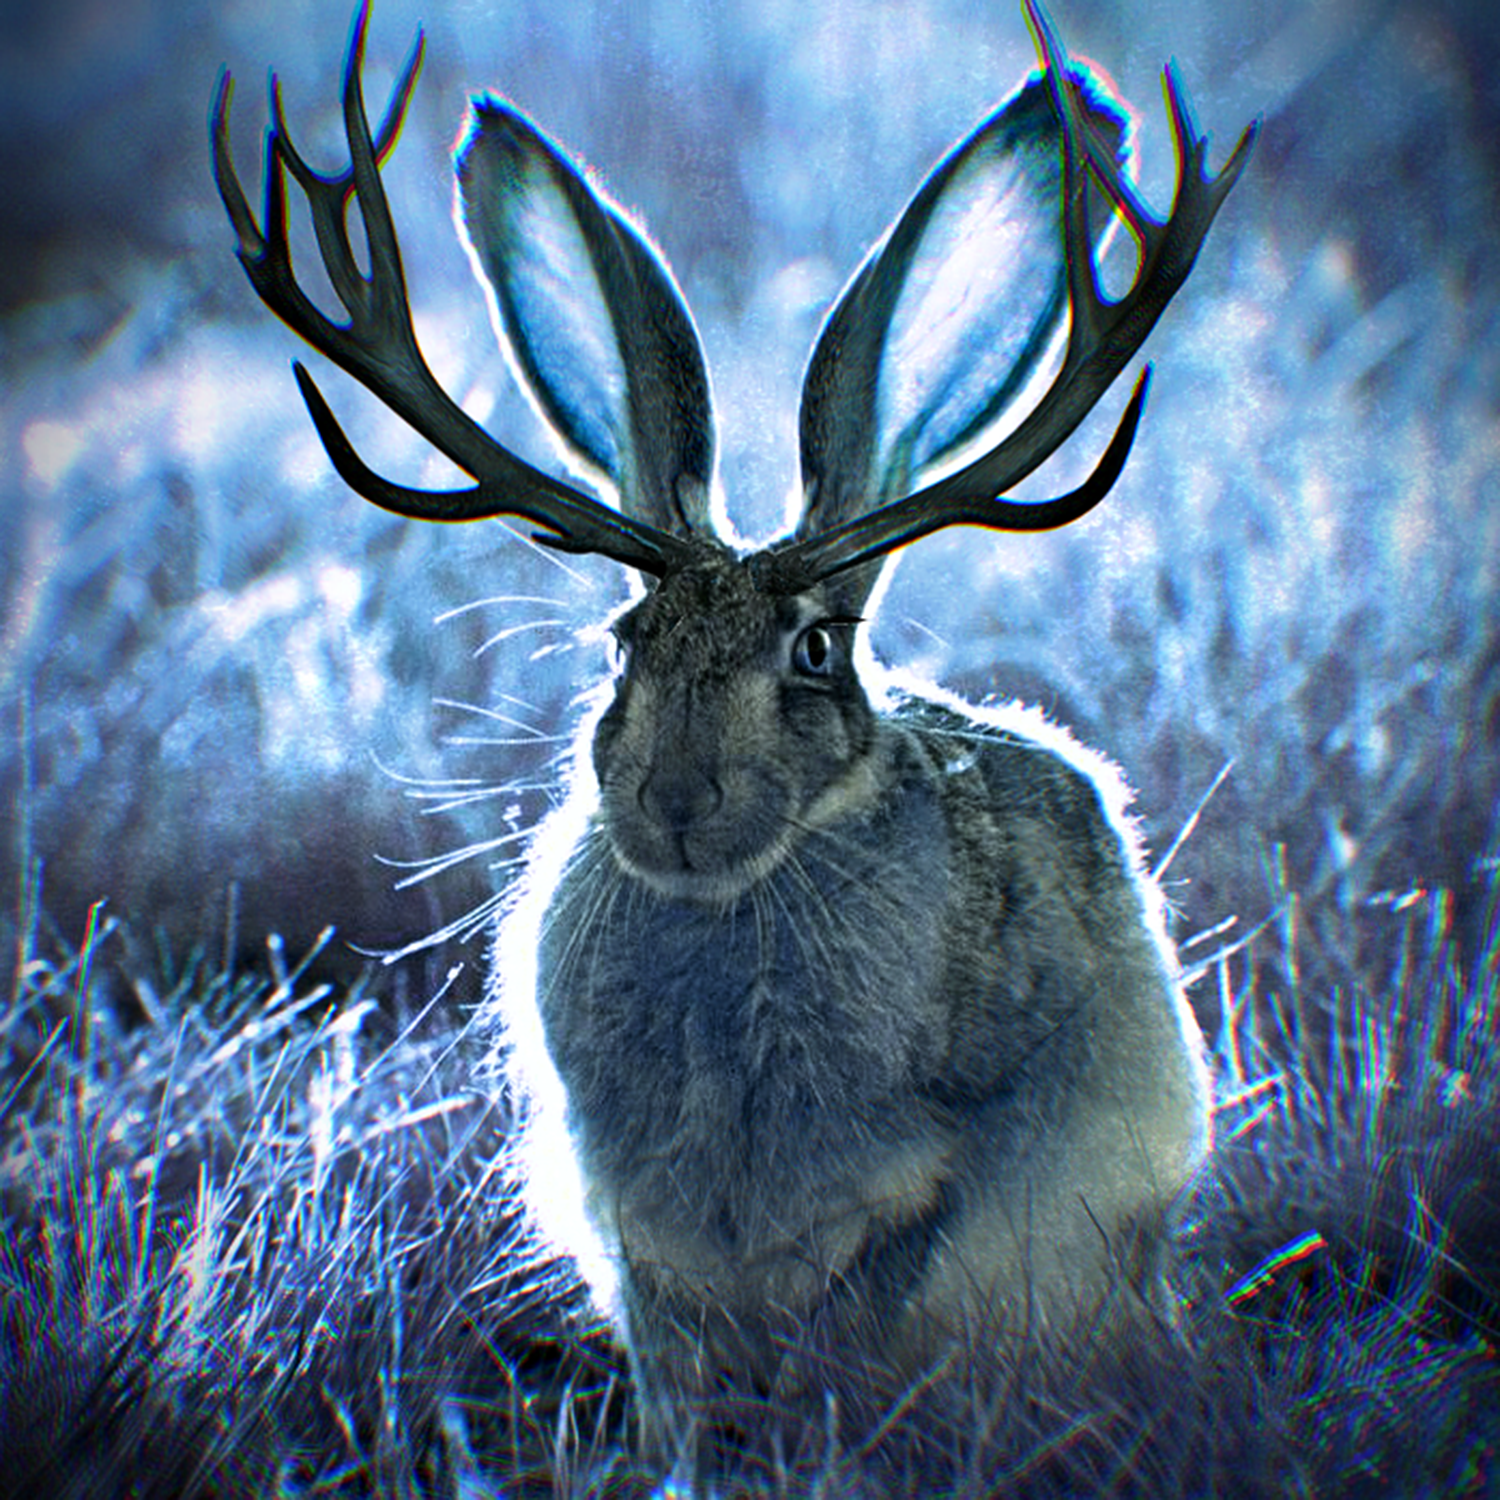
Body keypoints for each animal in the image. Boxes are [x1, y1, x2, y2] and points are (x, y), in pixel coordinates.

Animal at [213, 0, 1255, 1415]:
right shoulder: (635, 1232)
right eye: (622, 647)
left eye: (813, 653)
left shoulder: (935, 1184)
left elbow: (885, 1293)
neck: (735, 901)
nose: (674, 804)